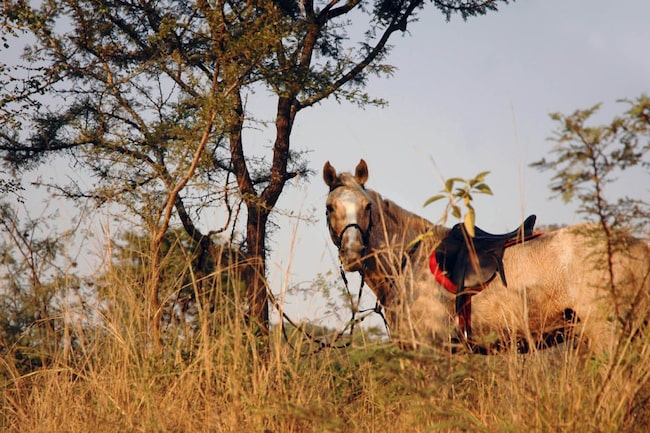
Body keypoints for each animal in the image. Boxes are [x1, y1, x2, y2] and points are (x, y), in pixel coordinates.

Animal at [322, 158, 648, 352]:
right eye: (330, 207)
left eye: (367, 206)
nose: (353, 254)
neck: (409, 260)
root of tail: (636, 245)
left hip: (607, 334)